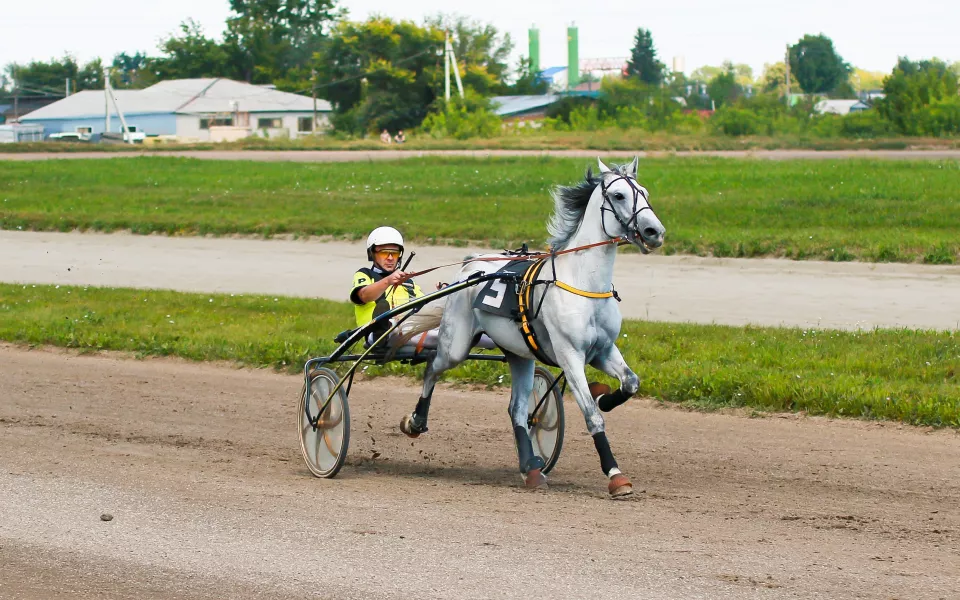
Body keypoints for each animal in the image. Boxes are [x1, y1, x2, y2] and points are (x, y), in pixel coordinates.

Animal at [402, 158, 664, 496]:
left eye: (644, 192)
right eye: (619, 195)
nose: (654, 231)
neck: (582, 283)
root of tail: (469, 266)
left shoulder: (603, 350)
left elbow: (630, 383)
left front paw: (604, 397)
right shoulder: (570, 356)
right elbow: (592, 416)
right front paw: (615, 474)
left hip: (519, 354)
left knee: (517, 409)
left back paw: (532, 468)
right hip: (456, 344)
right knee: (432, 366)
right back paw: (415, 421)